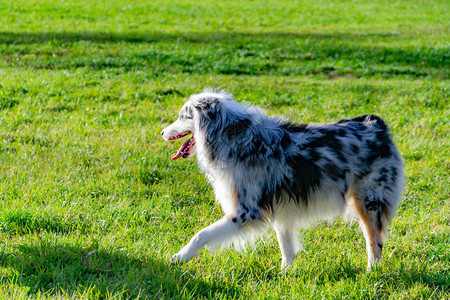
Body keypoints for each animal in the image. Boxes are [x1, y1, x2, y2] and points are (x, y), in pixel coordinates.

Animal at [162, 89, 404, 270]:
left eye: (183, 116)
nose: (162, 132)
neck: (233, 138)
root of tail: (376, 123)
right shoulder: (282, 208)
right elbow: (287, 248)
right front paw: (285, 275)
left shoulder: (245, 213)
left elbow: (200, 235)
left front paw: (178, 257)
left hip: (369, 201)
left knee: (374, 243)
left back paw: (372, 272)